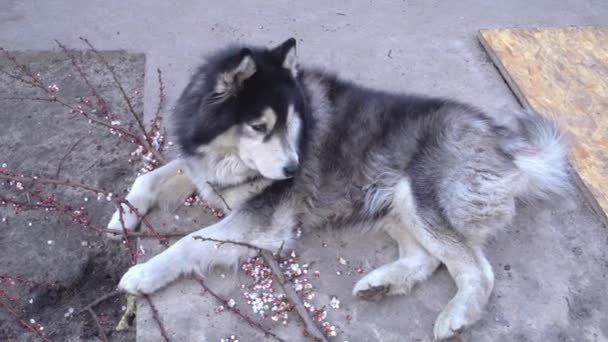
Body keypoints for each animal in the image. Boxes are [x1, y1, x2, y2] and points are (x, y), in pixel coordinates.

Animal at [111, 38, 572, 340]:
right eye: (259, 126)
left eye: (293, 121)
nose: (294, 168)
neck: (229, 157)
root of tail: (507, 147)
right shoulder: (205, 167)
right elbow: (152, 176)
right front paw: (124, 213)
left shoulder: (262, 223)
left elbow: (189, 242)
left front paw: (144, 273)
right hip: (390, 200)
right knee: (427, 258)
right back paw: (383, 283)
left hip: (420, 195)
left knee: (475, 268)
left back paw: (456, 316)